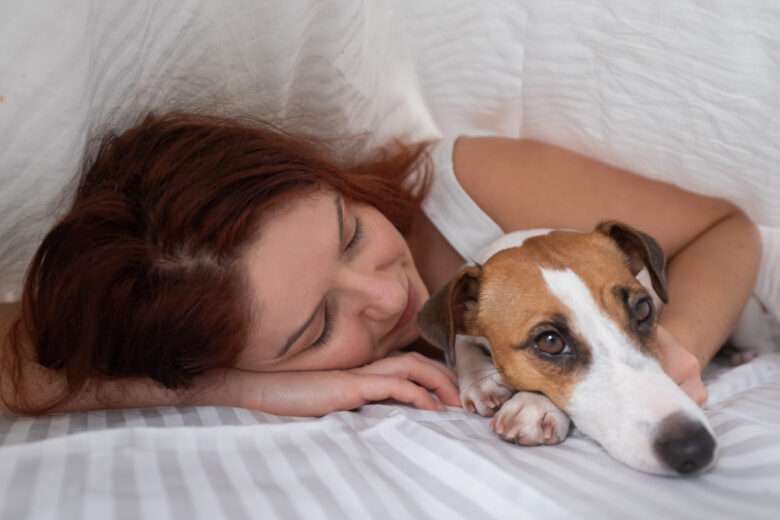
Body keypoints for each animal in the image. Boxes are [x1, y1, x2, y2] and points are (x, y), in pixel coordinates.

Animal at [418, 219, 728, 476]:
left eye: (643, 309)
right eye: (550, 342)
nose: (695, 447)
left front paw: (534, 404)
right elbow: (460, 342)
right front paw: (481, 383)